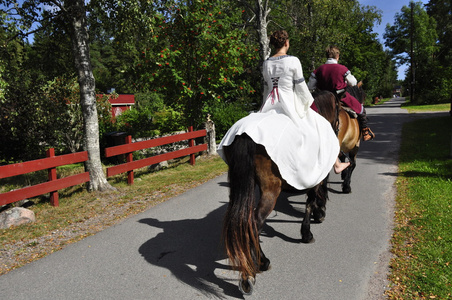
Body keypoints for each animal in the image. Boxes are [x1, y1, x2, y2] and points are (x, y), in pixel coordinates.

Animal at [221, 95, 338, 294]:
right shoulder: (317, 175)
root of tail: (244, 134)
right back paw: (258, 266)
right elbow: (312, 200)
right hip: (270, 191)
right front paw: (309, 230)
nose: (337, 129)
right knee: (254, 222)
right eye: (339, 108)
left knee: (242, 221)